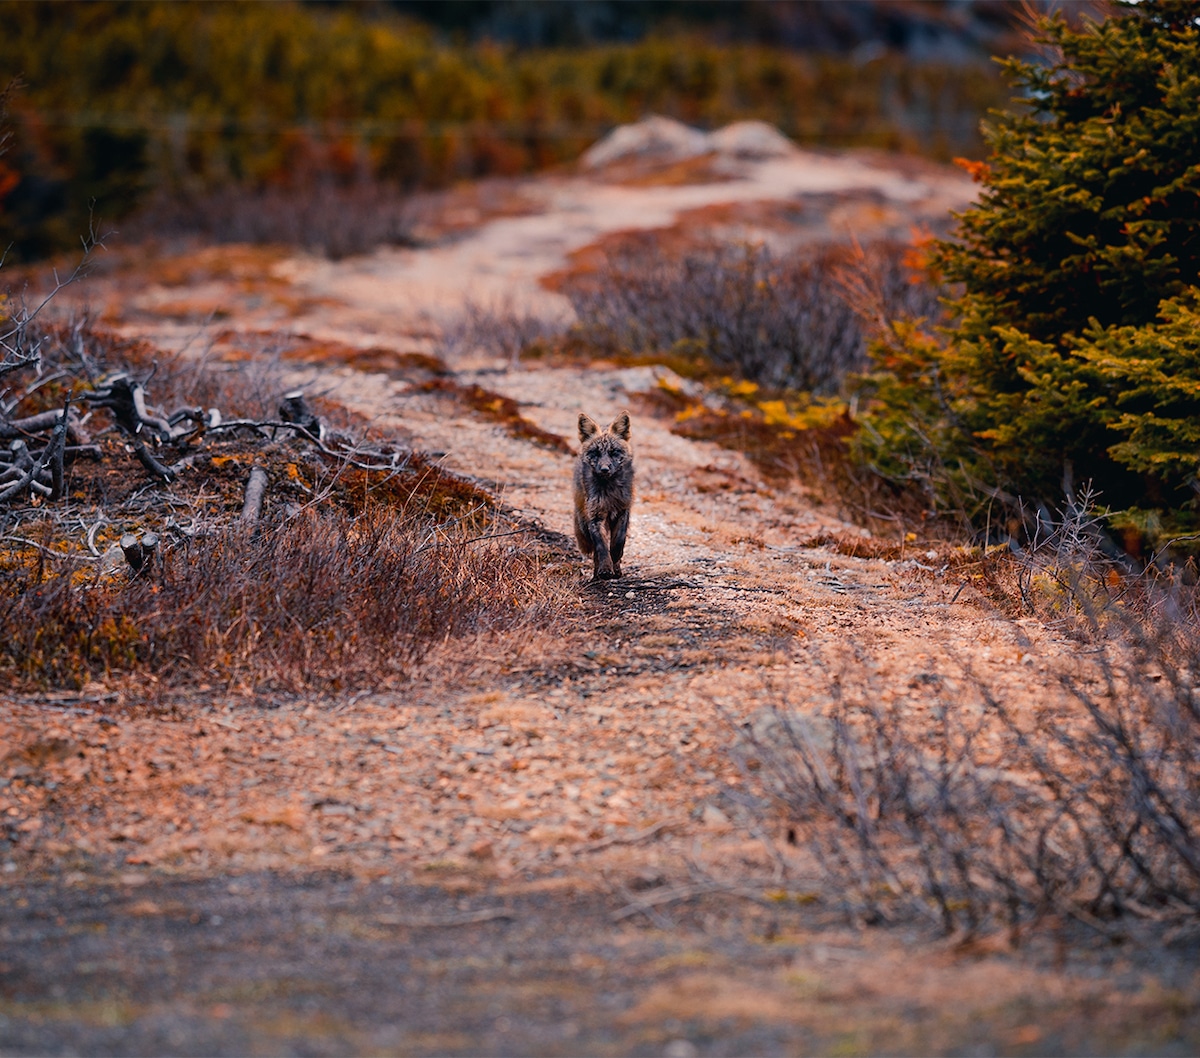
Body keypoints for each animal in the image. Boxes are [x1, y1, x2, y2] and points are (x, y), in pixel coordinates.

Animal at [573, 410, 633, 578]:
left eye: (614, 452)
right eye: (595, 453)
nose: (605, 469)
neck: (609, 495)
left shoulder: (623, 511)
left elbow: (618, 542)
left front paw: (615, 559)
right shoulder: (595, 516)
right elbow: (601, 547)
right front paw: (605, 569)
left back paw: (617, 570)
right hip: (584, 521)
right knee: (595, 552)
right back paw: (597, 574)